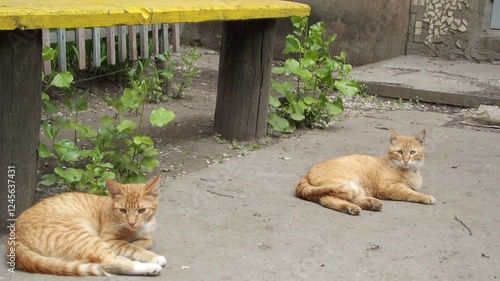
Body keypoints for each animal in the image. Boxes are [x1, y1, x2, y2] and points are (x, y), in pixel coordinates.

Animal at [10, 174, 166, 274]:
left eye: (142, 210)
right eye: (123, 210)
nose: (132, 222)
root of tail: (14, 238)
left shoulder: (146, 236)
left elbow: (145, 242)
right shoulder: (109, 240)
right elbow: (133, 248)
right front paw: (151, 256)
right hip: (86, 237)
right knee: (109, 261)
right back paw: (151, 267)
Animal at [294, 127, 436, 214]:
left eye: (412, 152)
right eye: (399, 152)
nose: (406, 160)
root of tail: (306, 175)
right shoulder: (388, 187)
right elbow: (411, 193)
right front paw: (426, 197)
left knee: (329, 199)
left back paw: (367, 205)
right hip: (349, 184)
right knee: (331, 197)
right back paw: (358, 207)